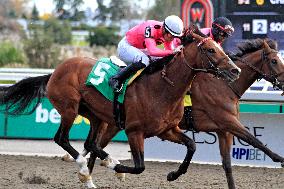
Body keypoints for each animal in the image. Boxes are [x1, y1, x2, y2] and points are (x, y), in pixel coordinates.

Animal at [0, 25, 240, 188]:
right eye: (210, 49)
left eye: (219, 46)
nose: (235, 70)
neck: (162, 88)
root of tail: (54, 72)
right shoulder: (134, 131)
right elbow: (140, 166)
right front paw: (117, 170)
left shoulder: (167, 130)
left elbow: (191, 145)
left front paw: (173, 174)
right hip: (69, 109)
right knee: (62, 139)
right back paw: (86, 167)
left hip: (96, 116)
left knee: (91, 143)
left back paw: (93, 172)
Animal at [79, 38, 284, 188]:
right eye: (274, 61)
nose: (235, 70)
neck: (224, 85)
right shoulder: (227, 121)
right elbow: (254, 140)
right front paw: (280, 159)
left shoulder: (223, 130)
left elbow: (227, 165)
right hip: (114, 124)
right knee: (95, 146)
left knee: (95, 146)